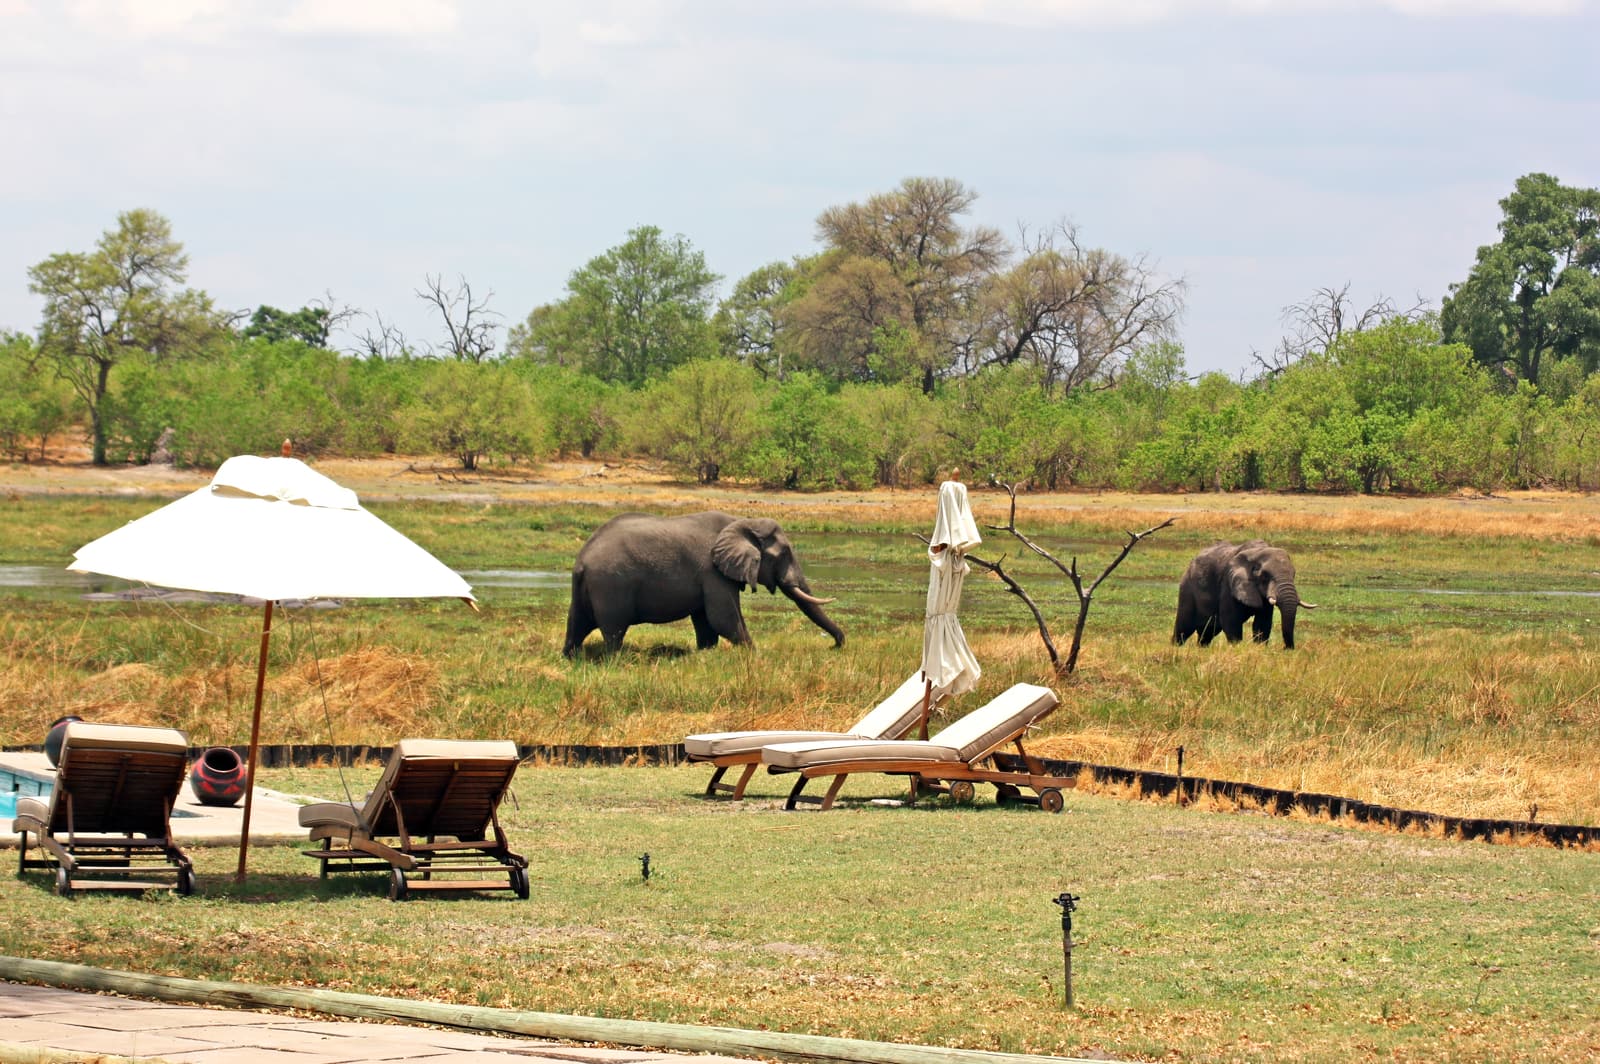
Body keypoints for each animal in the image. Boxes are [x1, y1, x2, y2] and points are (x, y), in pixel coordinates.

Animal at [563, 511, 845, 657]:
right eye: (784, 554)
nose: (834, 646)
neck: (742, 522)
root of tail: (582, 559)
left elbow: (706, 621)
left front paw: (706, 654)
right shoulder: (713, 573)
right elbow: (724, 617)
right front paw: (755, 654)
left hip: (587, 588)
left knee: (577, 623)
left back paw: (571, 657)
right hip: (611, 585)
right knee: (614, 630)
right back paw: (618, 660)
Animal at [1172, 540, 1313, 649]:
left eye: (1294, 574)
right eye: (1265, 576)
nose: (1286, 648)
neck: (1257, 552)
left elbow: (1263, 623)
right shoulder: (1228, 583)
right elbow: (1231, 620)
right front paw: (1237, 649)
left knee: (1207, 633)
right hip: (1187, 589)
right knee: (1183, 628)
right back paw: (1175, 648)